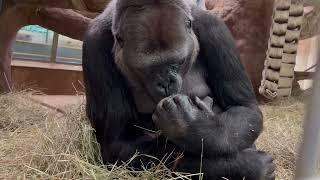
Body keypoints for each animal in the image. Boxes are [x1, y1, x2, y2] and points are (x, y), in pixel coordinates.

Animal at [82, 0, 276, 179]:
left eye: (178, 62)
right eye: (148, 69)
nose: (166, 83)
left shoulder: (213, 28)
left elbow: (244, 107)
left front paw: (194, 128)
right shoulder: (95, 44)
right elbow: (119, 144)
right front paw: (247, 166)